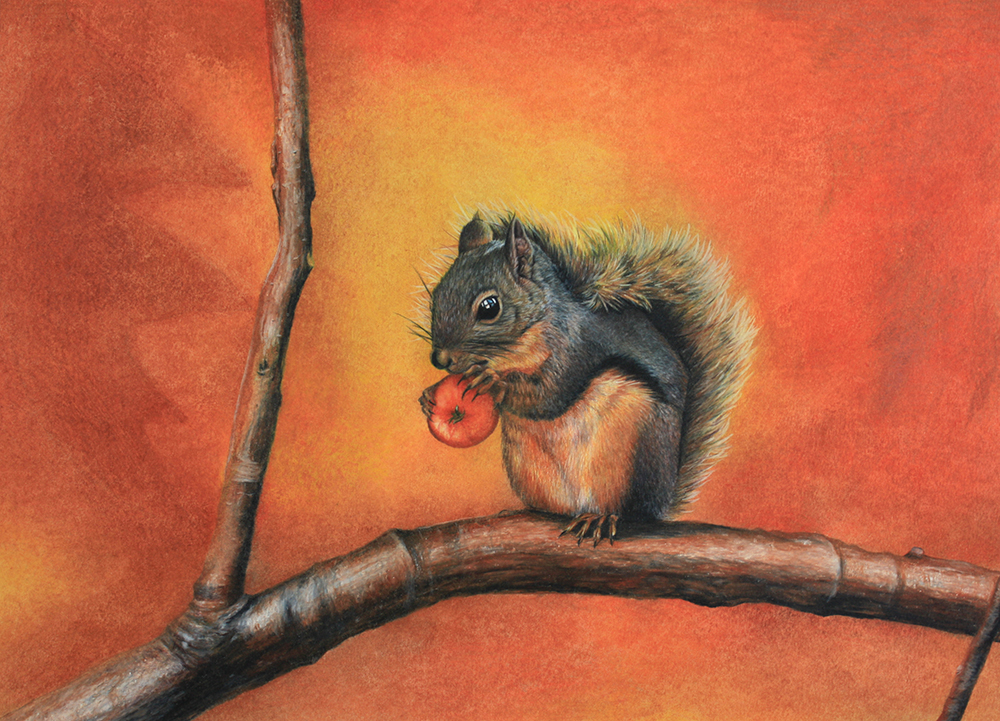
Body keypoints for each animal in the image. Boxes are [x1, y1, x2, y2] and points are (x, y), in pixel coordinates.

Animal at [419, 206, 756, 545]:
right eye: (437, 293)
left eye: (489, 307)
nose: (440, 359)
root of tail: (662, 499)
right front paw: (429, 398)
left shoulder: (576, 351)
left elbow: (548, 396)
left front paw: (493, 383)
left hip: (635, 456)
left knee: (631, 511)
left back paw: (602, 517)